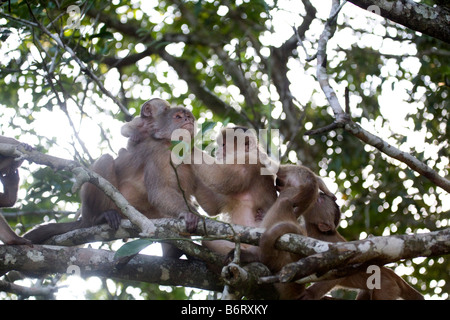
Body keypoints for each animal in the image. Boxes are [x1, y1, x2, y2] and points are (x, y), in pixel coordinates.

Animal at [24, 99, 200, 249]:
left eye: (188, 117)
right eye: (178, 117)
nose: (188, 120)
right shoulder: (158, 151)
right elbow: (159, 192)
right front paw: (188, 214)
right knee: (106, 160)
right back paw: (97, 218)